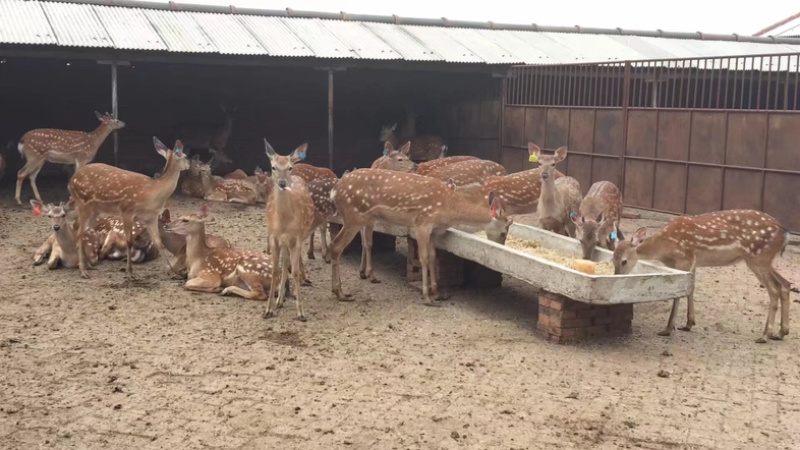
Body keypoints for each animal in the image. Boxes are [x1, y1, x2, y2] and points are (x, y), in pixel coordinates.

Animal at [68, 137, 190, 279]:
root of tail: (71, 181)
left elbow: (158, 242)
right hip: (83, 203)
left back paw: (86, 265)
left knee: (77, 226)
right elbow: (129, 241)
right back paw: (83, 271)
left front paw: (171, 272)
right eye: (185, 156)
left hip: (95, 209)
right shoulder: (127, 210)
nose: (189, 164)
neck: (152, 193)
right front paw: (130, 272)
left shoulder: (151, 217)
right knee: (79, 232)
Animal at [263, 139, 316, 321]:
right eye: (273, 167)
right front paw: (268, 310)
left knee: (290, 263)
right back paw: (279, 300)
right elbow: (275, 271)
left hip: (302, 234)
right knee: (285, 261)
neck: (284, 223)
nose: (282, 183)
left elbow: (295, 272)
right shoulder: (274, 237)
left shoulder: (297, 238)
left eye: (289, 167)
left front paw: (301, 313)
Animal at [329, 169, 512, 304]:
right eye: (504, 232)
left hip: (360, 218)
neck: (448, 207)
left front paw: (437, 293)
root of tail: (335, 190)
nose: (501, 246)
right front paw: (426, 296)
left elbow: (432, 257)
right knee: (336, 246)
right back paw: (341, 293)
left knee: (350, 243)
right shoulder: (422, 224)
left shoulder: (433, 231)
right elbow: (424, 258)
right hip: (354, 216)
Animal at [613, 210, 793, 343]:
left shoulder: (685, 258)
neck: (665, 249)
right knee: (785, 284)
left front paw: (668, 328)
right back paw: (781, 332)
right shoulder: (690, 263)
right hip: (763, 260)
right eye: (612, 259)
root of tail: (785, 234)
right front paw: (688, 323)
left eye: (624, 261)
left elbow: (679, 294)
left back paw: (765, 335)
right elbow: (691, 288)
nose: (616, 277)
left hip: (758, 258)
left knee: (774, 289)